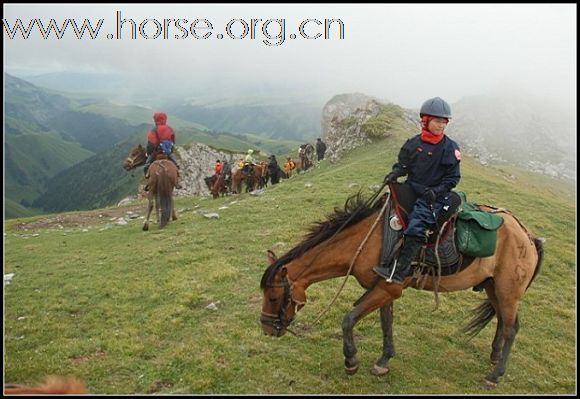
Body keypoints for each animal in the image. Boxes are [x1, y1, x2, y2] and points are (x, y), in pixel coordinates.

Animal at [262, 184, 544, 388]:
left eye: (274, 298)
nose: (266, 329)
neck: (369, 240)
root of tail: (529, 237)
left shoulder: (388, 288)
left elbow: (348, 319)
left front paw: (351, 361)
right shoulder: (384, 287)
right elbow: (386, 322)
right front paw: (384, 361)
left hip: (507, 291)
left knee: (511, 329)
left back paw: (494, 375)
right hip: (494, 288)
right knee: (504, 322)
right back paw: (494, 357)